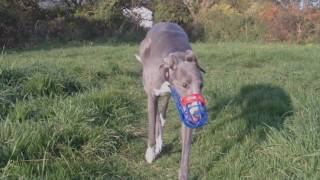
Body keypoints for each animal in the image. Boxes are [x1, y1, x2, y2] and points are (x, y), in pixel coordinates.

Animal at [135, 22, 205, 180]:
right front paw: (150, 152)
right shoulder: (151, 96)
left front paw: (183, 174)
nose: (198, 115)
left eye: (201, 85)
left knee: (162, 115)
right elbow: (151, 126)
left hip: (166, 97)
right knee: (157, 117)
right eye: (184, 84)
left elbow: (186, 151)